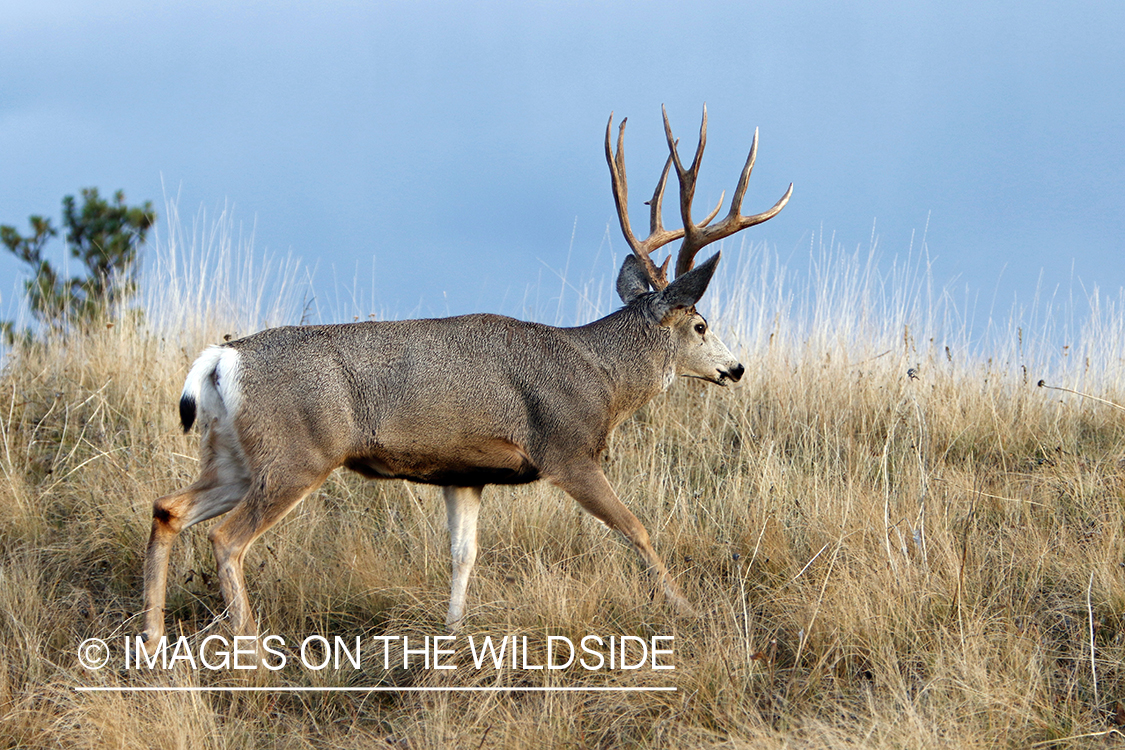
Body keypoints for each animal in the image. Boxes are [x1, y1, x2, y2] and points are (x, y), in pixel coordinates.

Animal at [138, 106, 791, 651]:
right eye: (702, 324)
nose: (735, 368)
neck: (600, 375)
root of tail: (222, 359)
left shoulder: (464, 473)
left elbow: (462, 555)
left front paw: (452, 637)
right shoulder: (567, 450)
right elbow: (637, 528)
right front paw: (685, 608)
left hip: (236, 453)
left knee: (168, 508)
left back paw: (152, 639)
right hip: (297, 453)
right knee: (226, 538)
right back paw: (249, 645)